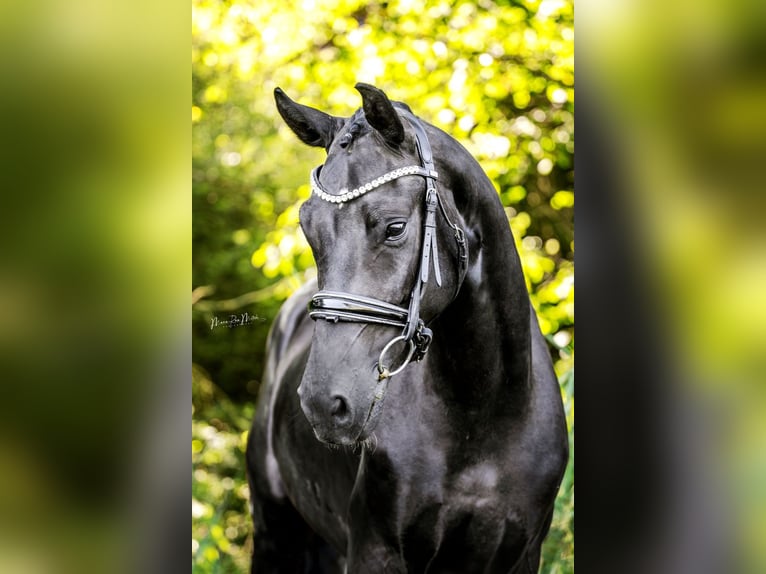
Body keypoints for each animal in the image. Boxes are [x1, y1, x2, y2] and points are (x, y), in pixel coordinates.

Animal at [248, 83, 568, 572]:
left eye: (395, 227)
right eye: (307, 227)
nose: (323, 403)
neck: (482, 416)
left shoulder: (520, 554)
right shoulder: (374, 550)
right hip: (274, 530)